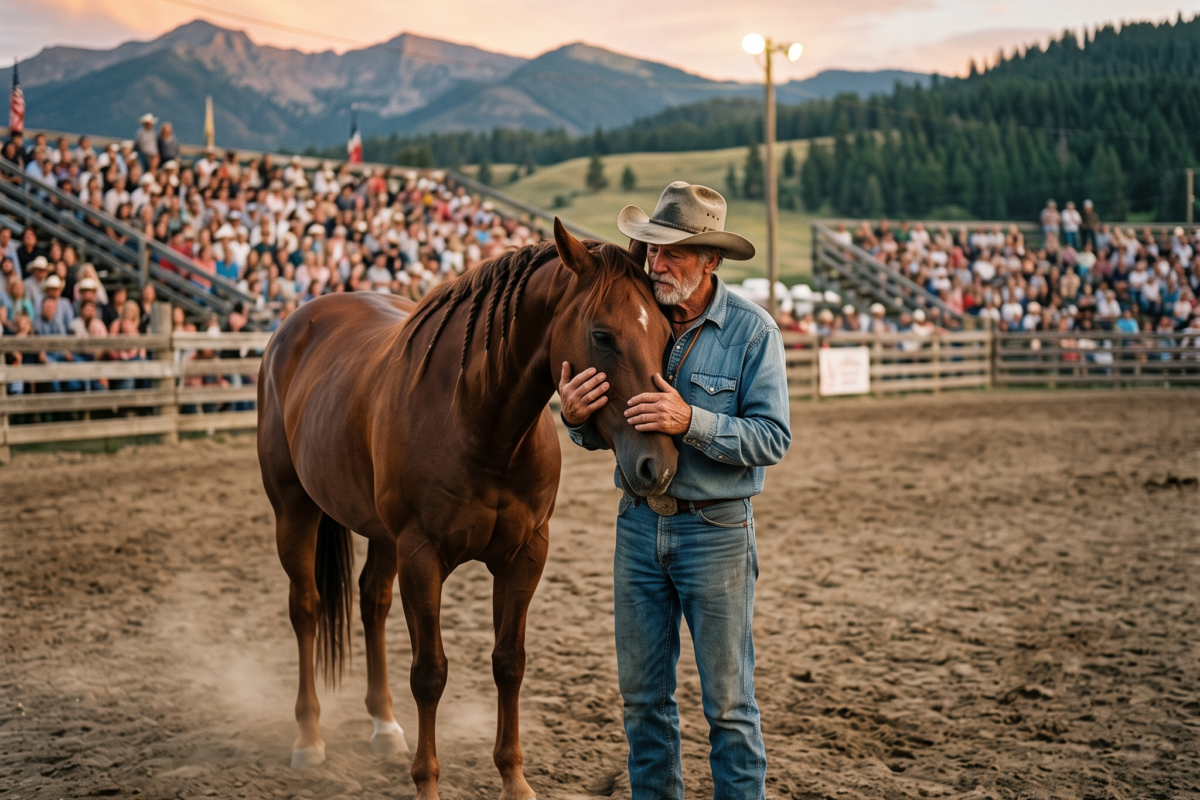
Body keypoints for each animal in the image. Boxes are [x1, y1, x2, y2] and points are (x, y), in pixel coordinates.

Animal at [256, 219, 677, 800]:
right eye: (602, 336)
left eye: (665, 333)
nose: (657, 464)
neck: (478, 419)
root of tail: (295, 325)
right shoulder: (421, 557)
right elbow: (430, 672)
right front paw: (427, 783)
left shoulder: (526, 555)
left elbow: (509, 663)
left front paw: (514, 780)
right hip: (294, 510)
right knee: (306, 608)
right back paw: (308, 737)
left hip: (380, 536)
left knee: (372, 603)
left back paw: (384, 726)